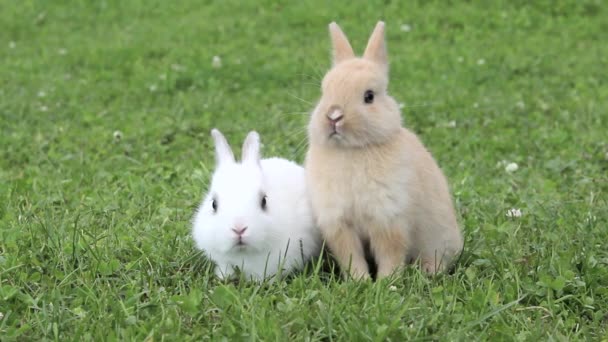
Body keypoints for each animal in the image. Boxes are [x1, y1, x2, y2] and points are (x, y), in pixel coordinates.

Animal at [192, 128, 320, 280]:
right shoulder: (223, 260)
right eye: (214, 204)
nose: (239, 229)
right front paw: (223, 277)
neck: (244, 254)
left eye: (264, 201)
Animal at [306, 21, 464, 280]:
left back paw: (428, 271)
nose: (334, 116)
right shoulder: (339, 224)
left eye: (369, 96)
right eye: (324, 91)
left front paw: (386, 282)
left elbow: (390, 253)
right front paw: (359, 281)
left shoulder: (388, 218)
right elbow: (351, 256)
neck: (352, 150)